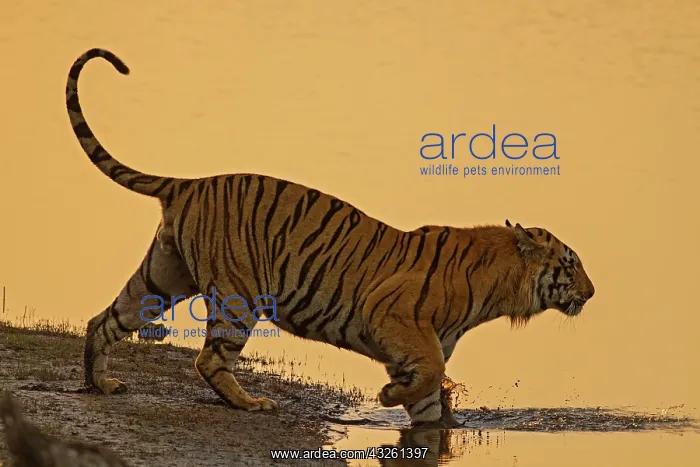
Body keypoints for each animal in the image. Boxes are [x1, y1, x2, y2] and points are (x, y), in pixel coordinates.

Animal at [66, 48, 595, 428]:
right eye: (570, 264)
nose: (591, 294)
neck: (495, 291)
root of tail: (189, 183)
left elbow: (429, 397)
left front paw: (436, 422)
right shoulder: (394, 317)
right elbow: (430, 373)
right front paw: (388, 397)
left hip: (163, 276)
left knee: (106, 319)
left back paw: (100, 384)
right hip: (239, 295)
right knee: (209, 359)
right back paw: (251, 404)